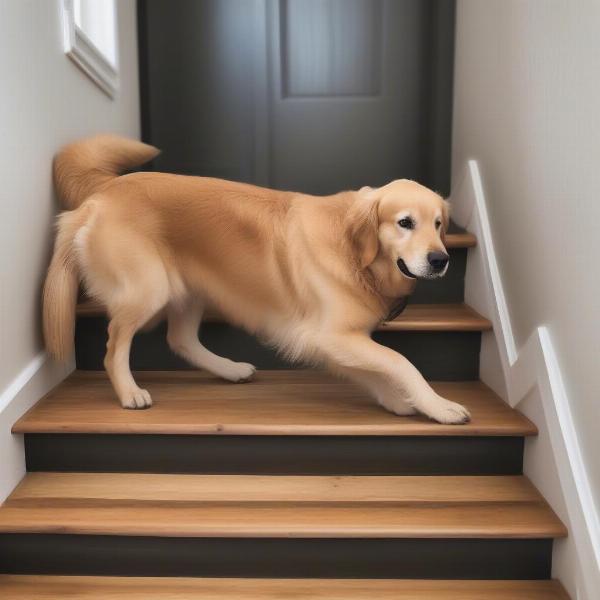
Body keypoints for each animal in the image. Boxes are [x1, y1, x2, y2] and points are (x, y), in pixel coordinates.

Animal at [44, 135, 472, 426]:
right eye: (405, 223)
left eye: (439, 224)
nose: (441, 260)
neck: (354, 256)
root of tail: (103, 191)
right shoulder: (328, 334)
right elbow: (400, 362)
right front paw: (437, 405)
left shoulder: (334, 339)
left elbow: (372, 369)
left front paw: (397, 400)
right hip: (149, 288)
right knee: (114, 346)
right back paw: (130, 392)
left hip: (192, 286)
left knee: (180, 340)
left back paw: (230, 370)